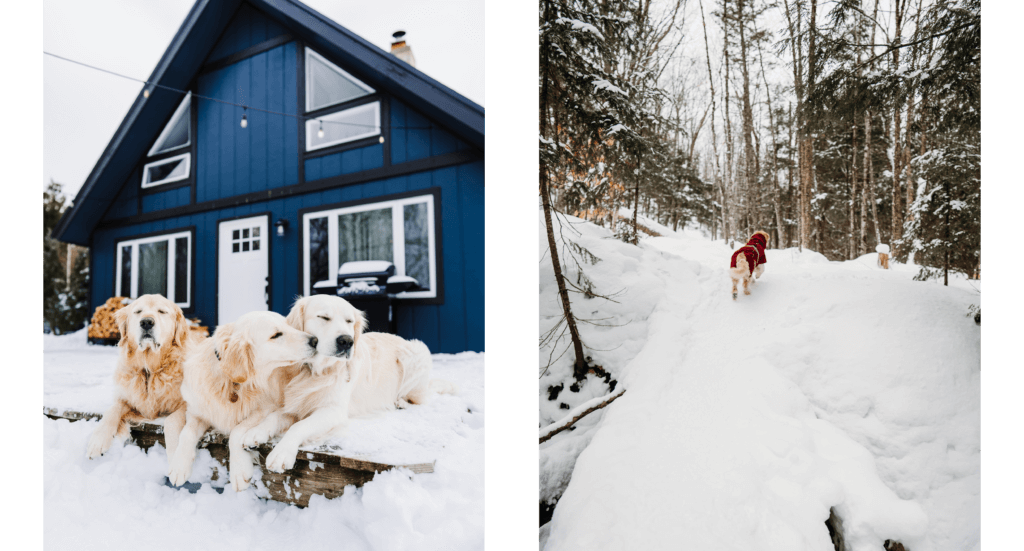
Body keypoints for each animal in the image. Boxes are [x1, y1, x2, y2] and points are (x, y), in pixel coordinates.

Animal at [87, 294, 196, 458]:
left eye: (162, 311)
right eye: (138, 311)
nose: (146, 322)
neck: (149, 370)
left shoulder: (188, 403)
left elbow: (171, 420)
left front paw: (175, 455)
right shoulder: (126, 398)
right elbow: (111, 411)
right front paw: (97, 441)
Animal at [165, 309, 315, 489]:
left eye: (289, 325)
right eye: (276, 335)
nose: (315, 340)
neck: (232, 383)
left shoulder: (266, 408)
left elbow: (237, 431)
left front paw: (239, 470)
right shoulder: (198, 411)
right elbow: (187, 432)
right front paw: (179, 466)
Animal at [241, 294, 458, 471]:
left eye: (349, 321)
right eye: (324, 317)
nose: (346, 341)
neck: (315, 371)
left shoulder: (333, 411)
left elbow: (299, 426)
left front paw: (281, 453)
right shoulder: (294, 403)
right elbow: (273, 417)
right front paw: (255, 432)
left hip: (416, 351)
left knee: (421, 398)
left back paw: (400, 402)